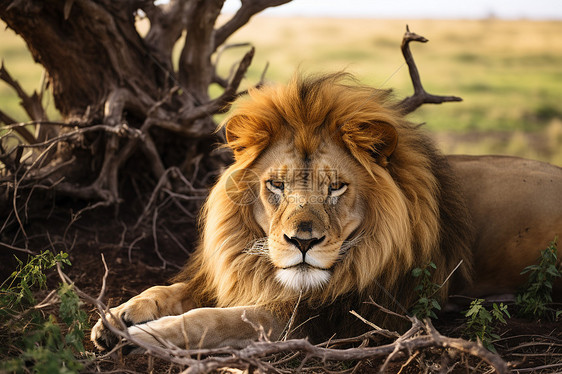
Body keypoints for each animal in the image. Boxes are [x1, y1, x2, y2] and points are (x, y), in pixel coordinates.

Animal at [89, 72, 556, 350]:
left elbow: (210, 320)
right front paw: (117, 317)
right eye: (276, 186)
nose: (302, 242)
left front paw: (142, 335)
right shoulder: (235, 274)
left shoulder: (311, 320)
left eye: (336, 188)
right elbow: (168, 291)